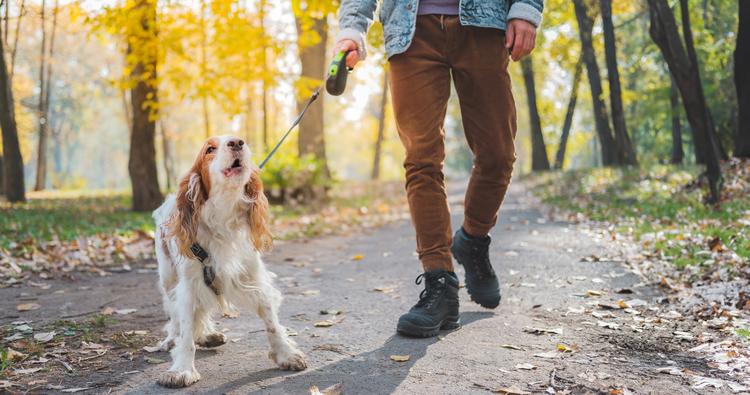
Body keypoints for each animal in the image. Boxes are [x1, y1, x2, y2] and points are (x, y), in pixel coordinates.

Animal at [151, 135, 306, 388]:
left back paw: (207, 335)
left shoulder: (254, 277)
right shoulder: (189, 285)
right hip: (168, 278)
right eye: (210, 149)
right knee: (174, 315)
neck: (223, 215)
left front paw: (286, 354)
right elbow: (186, 331)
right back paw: (172, 338)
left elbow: (271, 322)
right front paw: (182, 369)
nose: (237, 142)